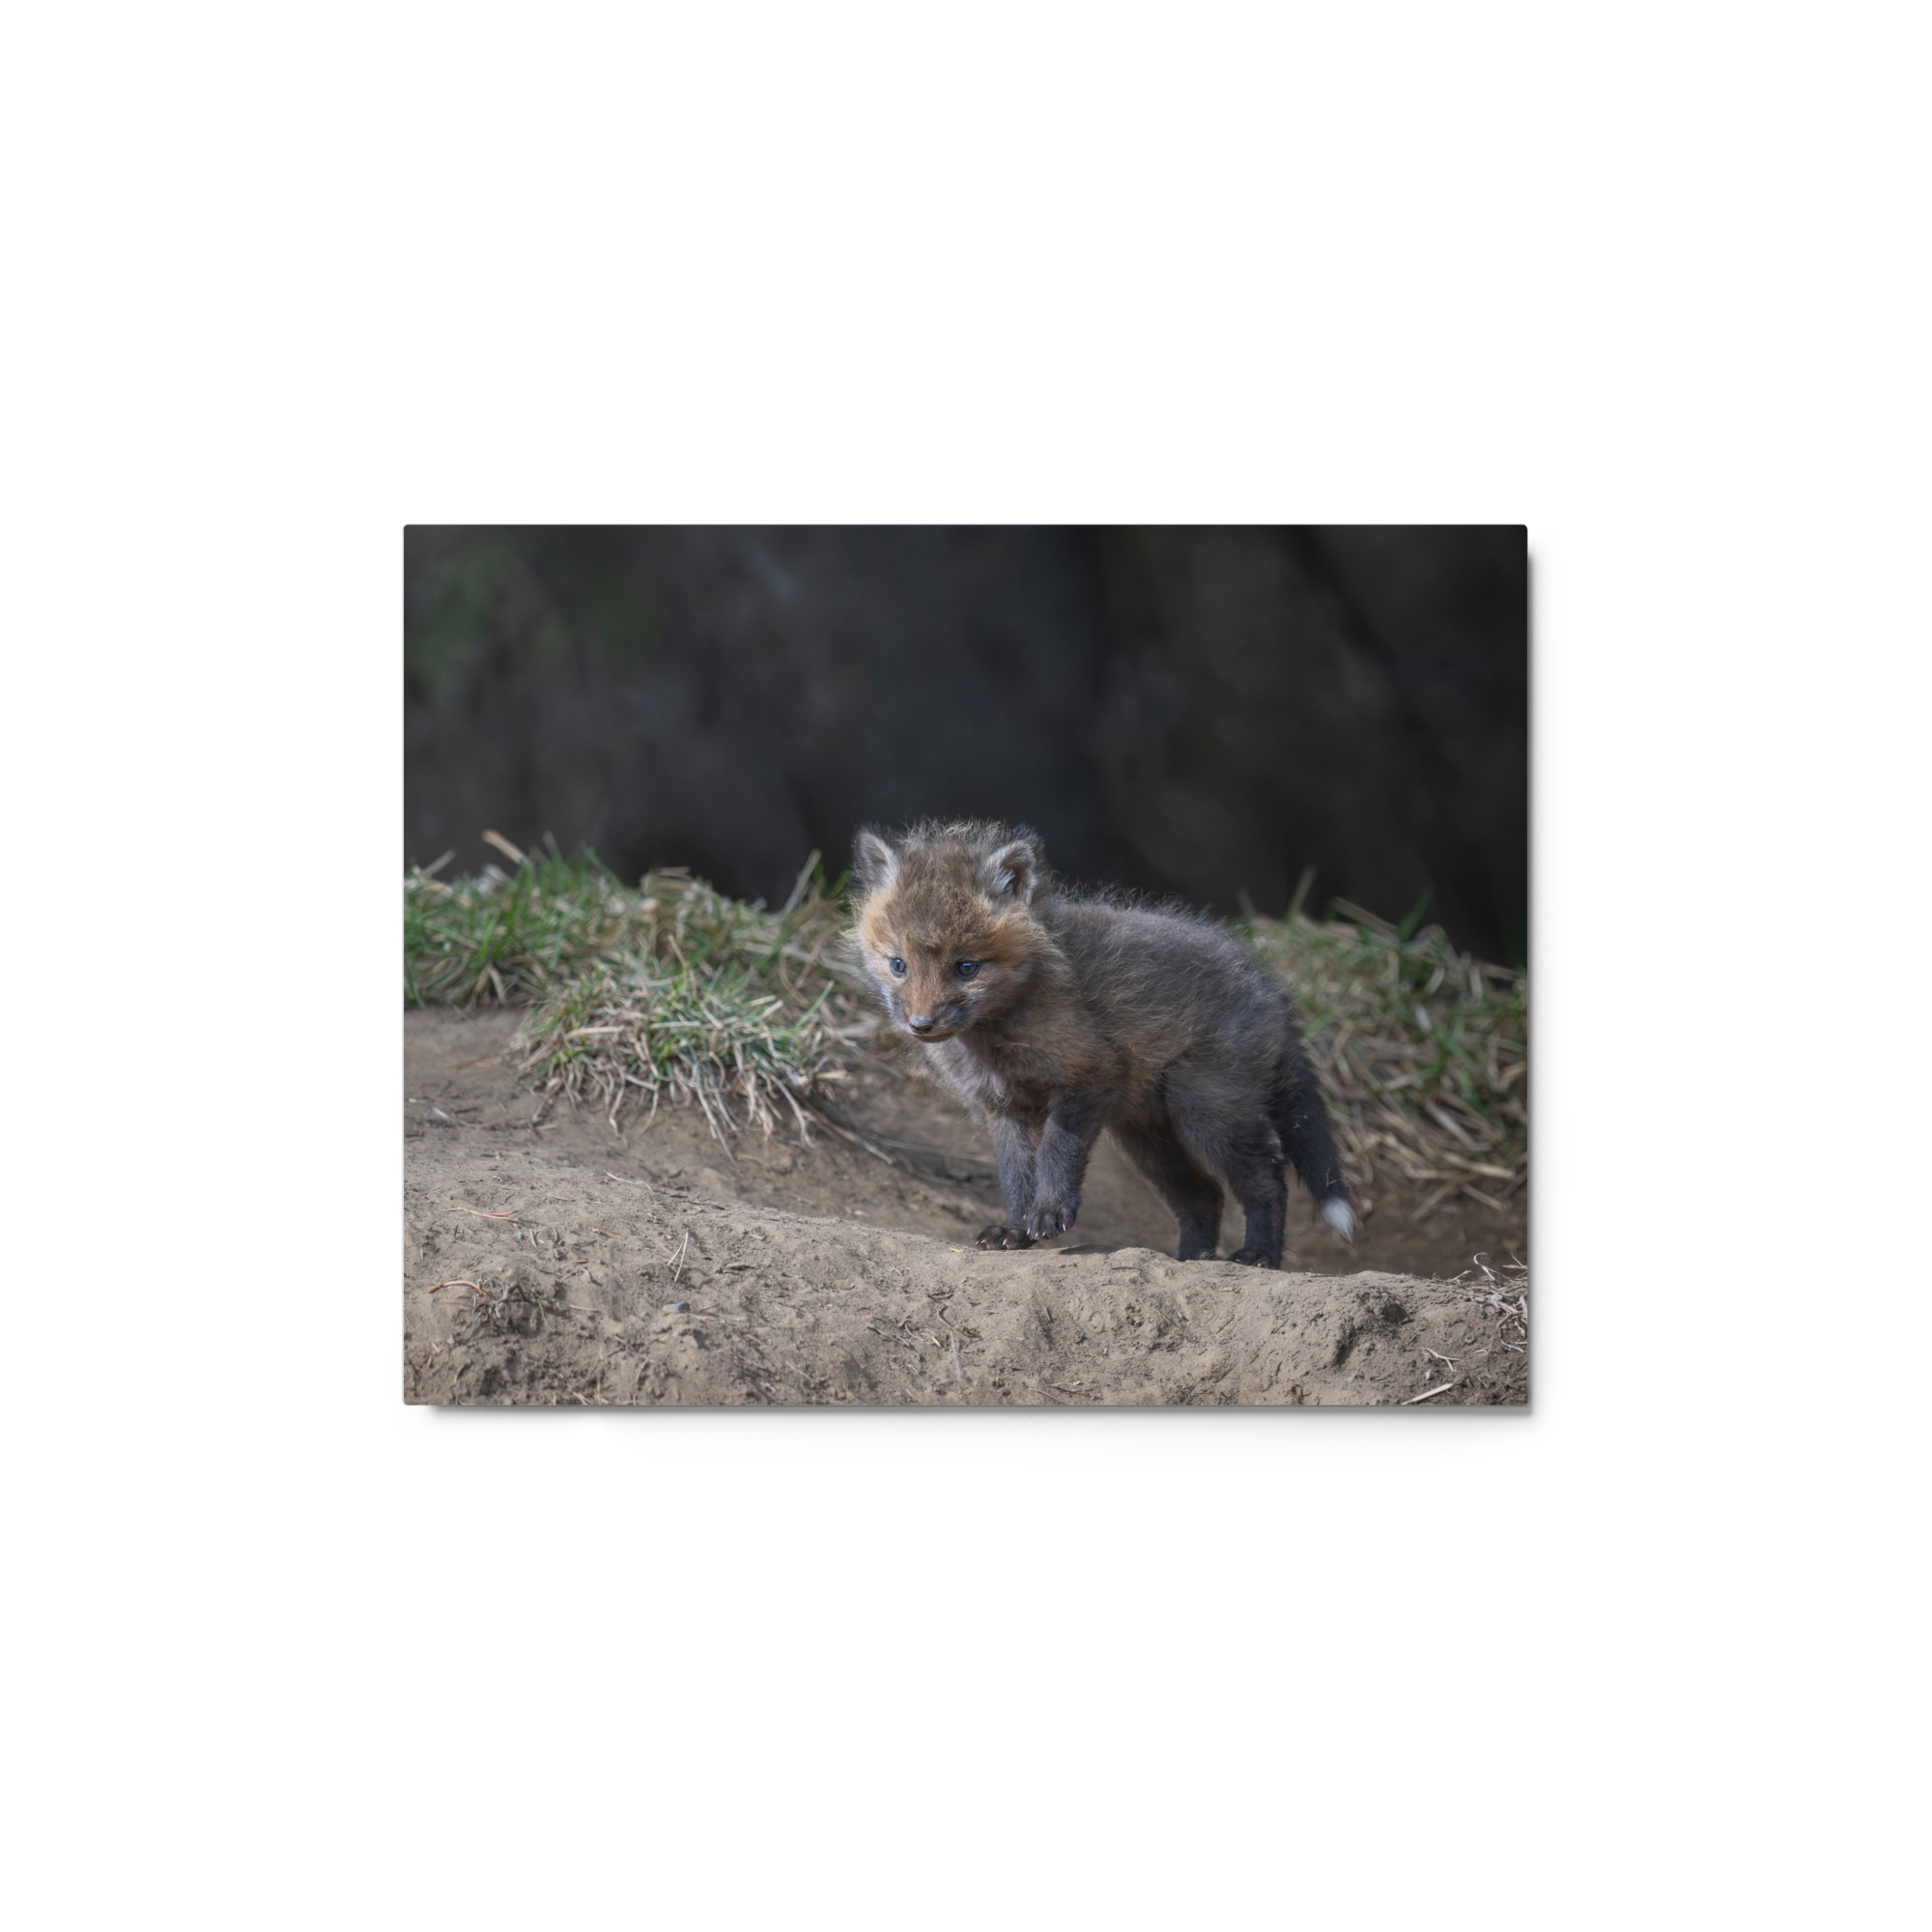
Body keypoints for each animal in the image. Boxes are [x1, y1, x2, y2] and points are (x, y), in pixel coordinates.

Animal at [850, 820, 1354, 1267]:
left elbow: (1056, 1152)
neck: (996, 1039)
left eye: (966, 967)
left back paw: (1259, 1255)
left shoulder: (1088, 1074)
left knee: (1268, 1179)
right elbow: (1016, 1175)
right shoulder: (1003, 1107)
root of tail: (1274, 992)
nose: (921, 1024)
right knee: (1204, 1196)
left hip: (1206, 1112)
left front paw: (1050, 1213)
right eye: (898, 965)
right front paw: (1014, 1229)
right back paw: (1190, 1259)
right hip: (1147, 1138)